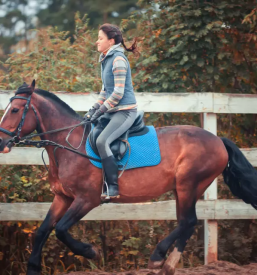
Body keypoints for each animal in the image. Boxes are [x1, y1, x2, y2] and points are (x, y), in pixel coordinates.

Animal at [0, 80, 255, 275]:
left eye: (15, 110)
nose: (2, 142)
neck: (68, 143)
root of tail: (217, 139)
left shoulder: (87, 199)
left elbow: (61, 229)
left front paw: (90, 251)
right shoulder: (62, 198)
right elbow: (43, 230)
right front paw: (33, 268)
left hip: (188, 184)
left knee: (187, 221)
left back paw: (158, 257)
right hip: (182, 189)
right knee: (187, 222)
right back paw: (168, 265)